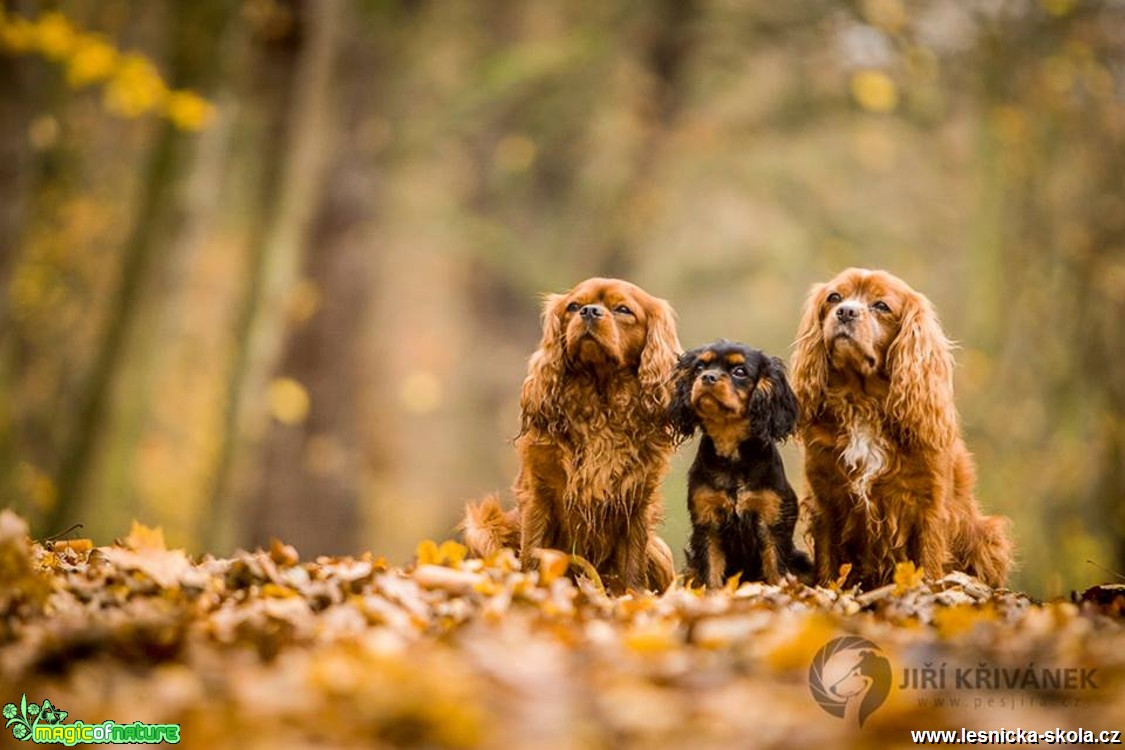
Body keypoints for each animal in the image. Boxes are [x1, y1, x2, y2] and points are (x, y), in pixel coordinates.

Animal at [459, 275, 675, 593]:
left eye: (623, 310)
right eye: (574, 306)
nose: (590, 311)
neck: (601, 403)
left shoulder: (637, 501)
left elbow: (633, 566)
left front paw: (635, 597)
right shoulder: (538, 493)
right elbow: (533, 551)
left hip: (660, 550)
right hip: (483, 527)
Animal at [670, 339, 814, 584]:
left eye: (739, 372)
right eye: (699, 367)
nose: (707, 377)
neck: (732, 455)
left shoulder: (771, 522)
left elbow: (776, 569)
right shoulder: (707, 524)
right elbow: (711, 574)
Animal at [787, 266, 1017, 589]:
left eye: (881, 306)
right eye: (834, 298)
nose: (845, 312)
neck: (862, 403)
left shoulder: (928, 505)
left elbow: (928, 559)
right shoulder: (825, 497)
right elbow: (828, 561)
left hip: (989, 535)